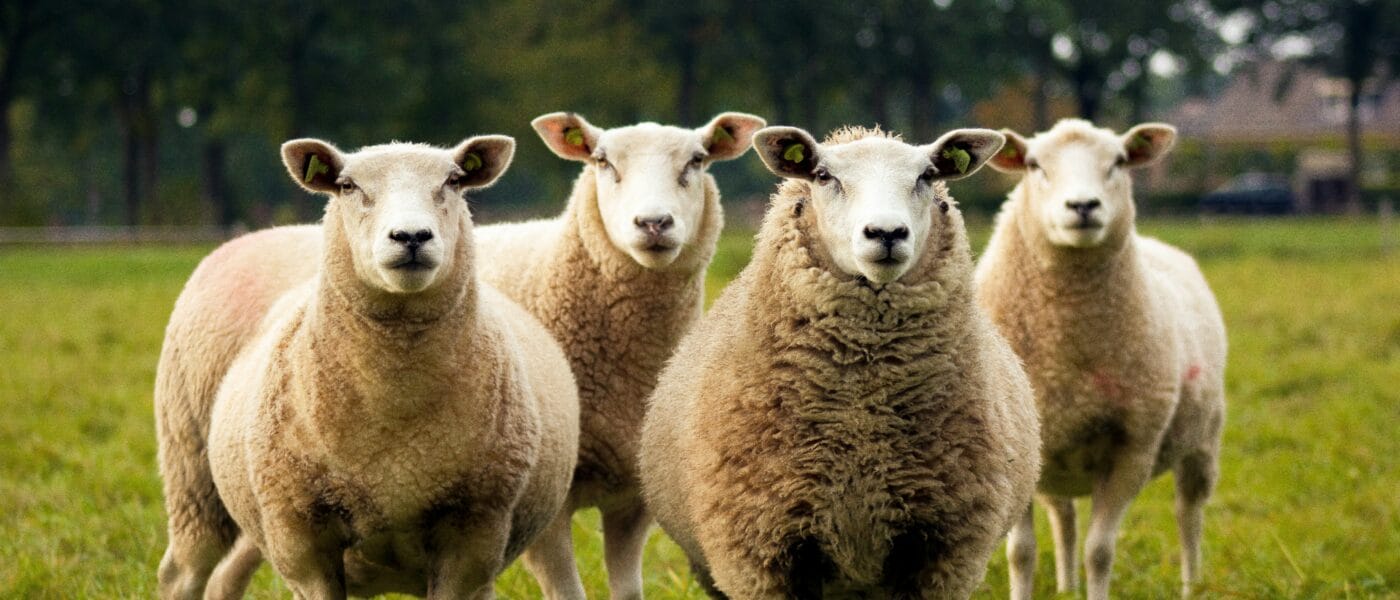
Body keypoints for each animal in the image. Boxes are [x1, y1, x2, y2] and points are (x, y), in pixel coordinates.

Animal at [159, 135, 580, 599]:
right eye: (347, 186)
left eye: (453, 181)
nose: (411, 235)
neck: (395, 400)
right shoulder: (301, 533)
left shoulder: (475, 531)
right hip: (194, 473)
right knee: (183, 572)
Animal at [471, 111, 766, 600]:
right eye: (603, 161)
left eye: (697, 160)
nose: (653, 222)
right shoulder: (547, 506)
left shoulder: (634, 498)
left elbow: (628, 591)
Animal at [639, 125, 1041, 599]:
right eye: (824, 175)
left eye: (927, 176)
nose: (886, 233)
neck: (862, 417)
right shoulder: (759, 551)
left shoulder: (943, 552)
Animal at [975, 119, 1227, 600]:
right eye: (1034, 165)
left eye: (1119, 162)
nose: (1083, 206)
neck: (1065, 358)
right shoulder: (1016, 449)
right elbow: (1021, 553)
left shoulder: (1133, 449)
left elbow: (1100, 552)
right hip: (1053, 458)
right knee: (1065, 518)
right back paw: (1066, 586)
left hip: (1202, 440)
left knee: (1188, 515)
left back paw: (1191, 584)